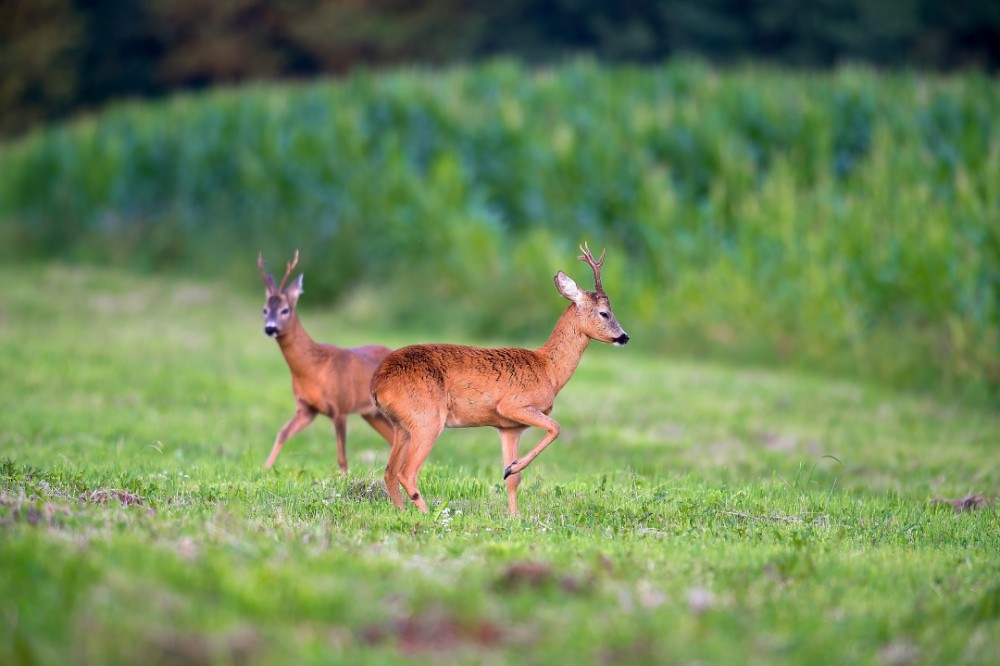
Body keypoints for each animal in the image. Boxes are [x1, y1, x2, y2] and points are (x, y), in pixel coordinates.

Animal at [258, 249, 394, 472]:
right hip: (372, 414)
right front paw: (266, 469)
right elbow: (282, 433)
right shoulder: (306, 408)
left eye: (285, 309)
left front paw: (344, 477)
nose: (270, 328)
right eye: (264, 309)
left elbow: (342, 457)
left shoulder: (340, 407)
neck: (313, 369)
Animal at [372, 243, 628, 512]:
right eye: (604, 313)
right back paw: (427, 514)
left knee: (390, 472)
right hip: (427, 419)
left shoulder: (509, 428)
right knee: (407, 472)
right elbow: (556, 427)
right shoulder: (513, 405)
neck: (548, 369)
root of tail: (378, 383)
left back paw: (402, 511)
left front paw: (513, 510)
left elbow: (514, 481)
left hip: (401, 425)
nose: (624, 337)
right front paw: (511, 468)